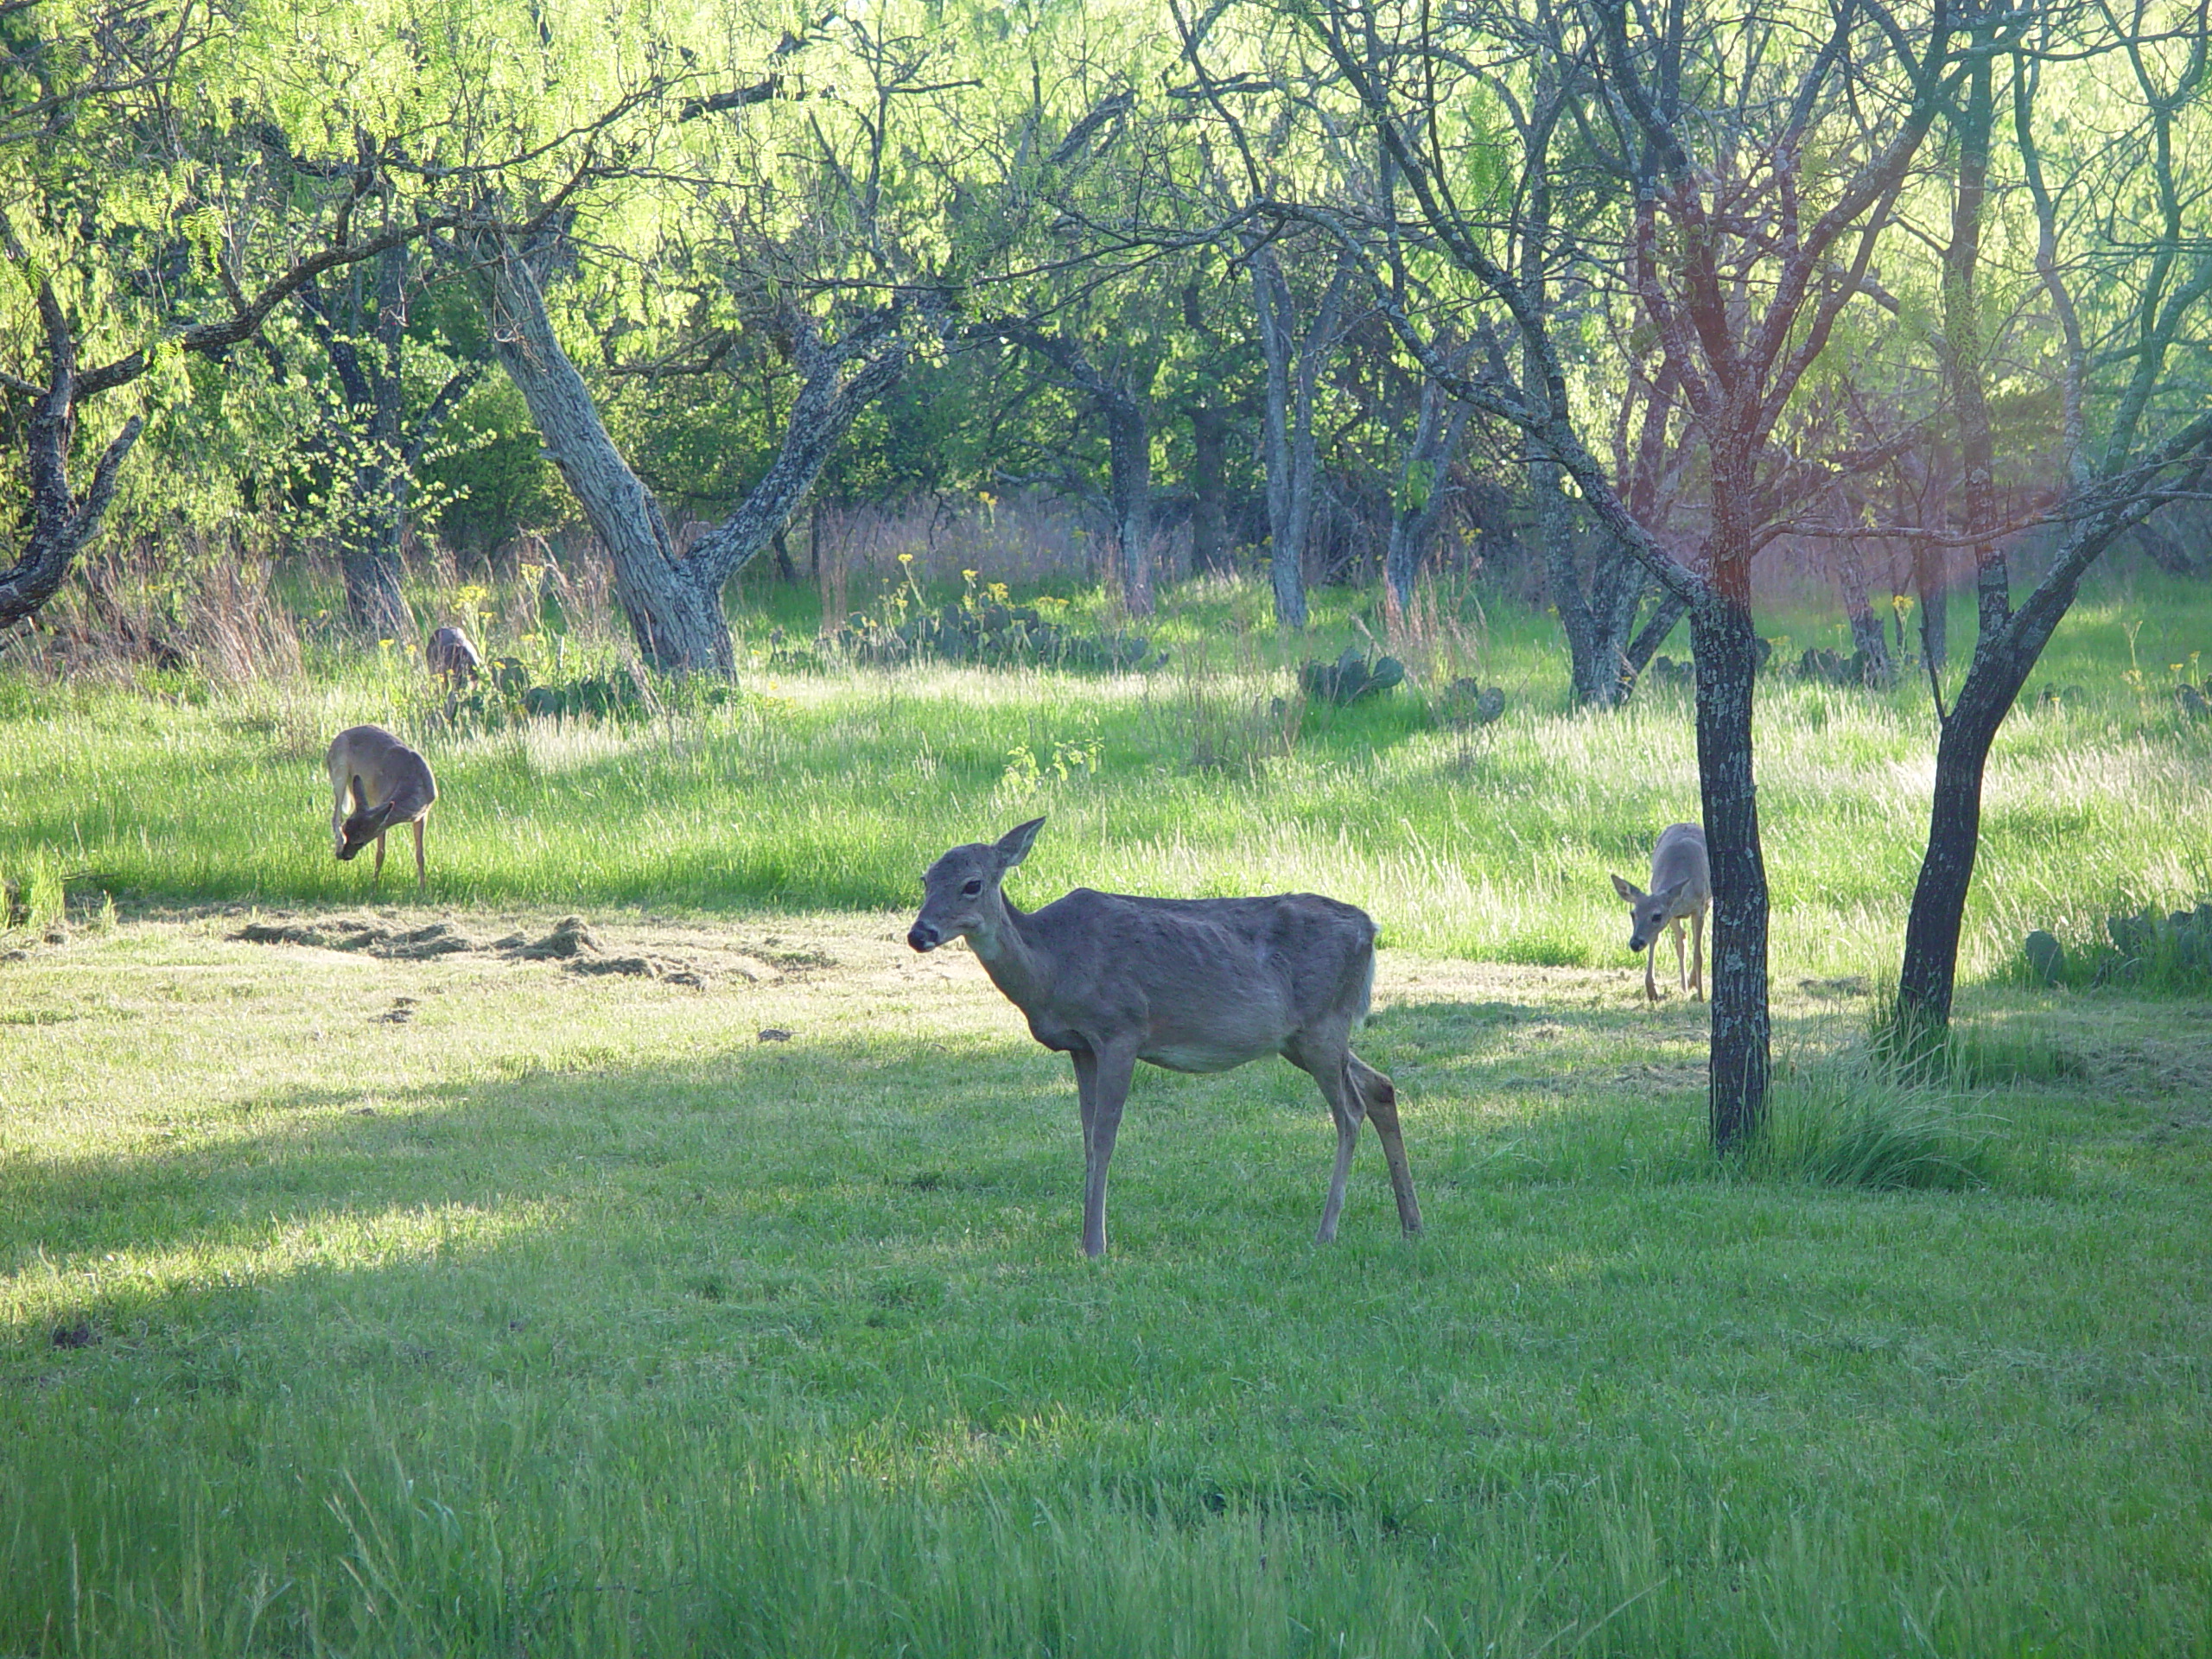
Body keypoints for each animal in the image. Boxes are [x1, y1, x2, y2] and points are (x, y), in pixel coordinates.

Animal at [325, 721, 437, 889]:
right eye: (346, 831)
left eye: (359, 841)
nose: (343, 856)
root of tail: (338, 736)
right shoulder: (381, 801)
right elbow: (380, 852)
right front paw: (374, 885)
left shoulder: (423, 815)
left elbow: (420, 854)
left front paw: (423, 888)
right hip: (339, 770)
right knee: (335, 817)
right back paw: (337, 845)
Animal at [906, 818, 1424, 1256]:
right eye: (925, 880)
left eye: (972, 884)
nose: (919, 933)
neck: (1053, 966)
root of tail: (1370, 926)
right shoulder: (1080, 1046)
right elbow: (1086, 1137)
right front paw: (1086, 1235)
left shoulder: (1121, 1028)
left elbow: (1106, 1136)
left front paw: (1095, 1245)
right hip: (1300, 1038)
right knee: (1380, 1086)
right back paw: (1411, 1224)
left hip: (1323, 1023)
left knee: (1350, 1111)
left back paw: (1327, 1232)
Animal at [1618, 827, 1716, 1008]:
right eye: (1633, 914)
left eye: (1656, 915)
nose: (1635, 943)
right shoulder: (1671, 913)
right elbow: (1661, 942)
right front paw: (1651, 990)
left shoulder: (1699, 907)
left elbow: (1698, 954)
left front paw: (1701, 996)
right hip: (1675, 917)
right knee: (1682, 940)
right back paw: (1684, 986)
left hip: (1707, 902)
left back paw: (1692, 982)